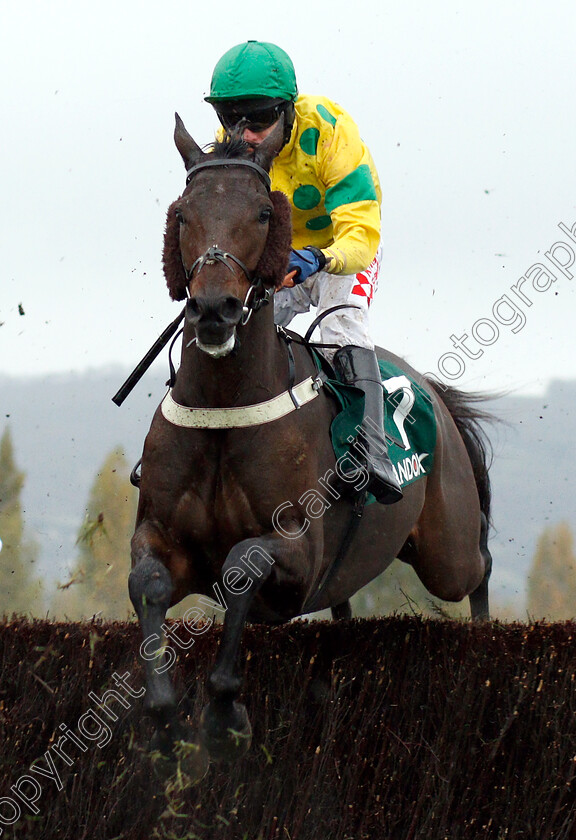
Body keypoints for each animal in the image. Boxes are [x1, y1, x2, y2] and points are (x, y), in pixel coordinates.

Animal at [128, 113, 492, 768]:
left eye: (262, 213)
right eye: (184, 214)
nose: (214, 310)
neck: (227, 405)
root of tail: (433, 391)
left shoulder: (298, 552)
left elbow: (244, 563)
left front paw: (225, 713)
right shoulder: (166, 538)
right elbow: (148, 584)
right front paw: (166, 720)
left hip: (446, 549)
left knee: (478, 565)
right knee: (347, 602)